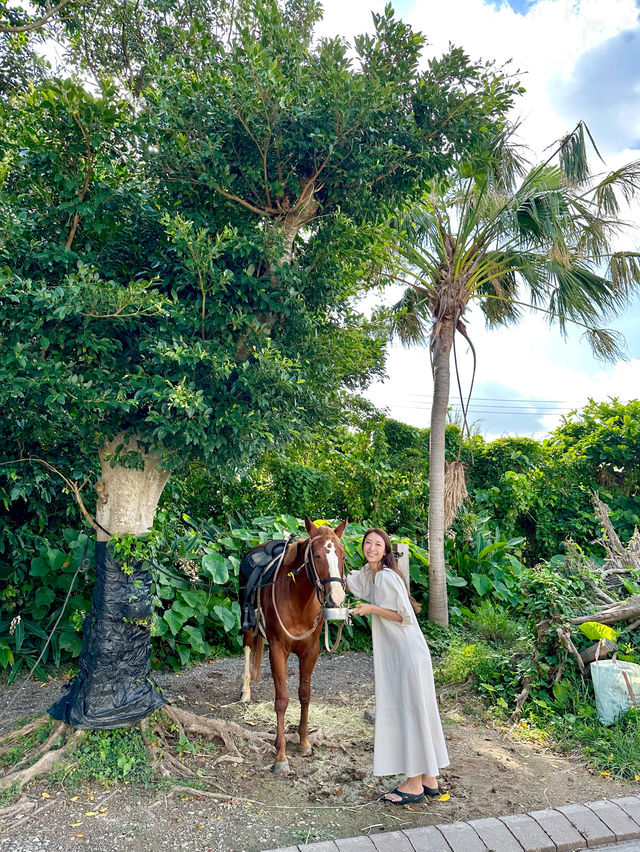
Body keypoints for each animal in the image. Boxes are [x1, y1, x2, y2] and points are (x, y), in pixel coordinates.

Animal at [239, 516, 344, 776]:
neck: (299, 601)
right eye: (316, 555)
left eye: (342, 554)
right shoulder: (278, 650)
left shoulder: (311, 651)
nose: (336, 597)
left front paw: (304, 742)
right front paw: (281, 756)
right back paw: (245, 690)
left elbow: (304, 695)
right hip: (246, 622)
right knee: (247, 646)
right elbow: (282, 700)